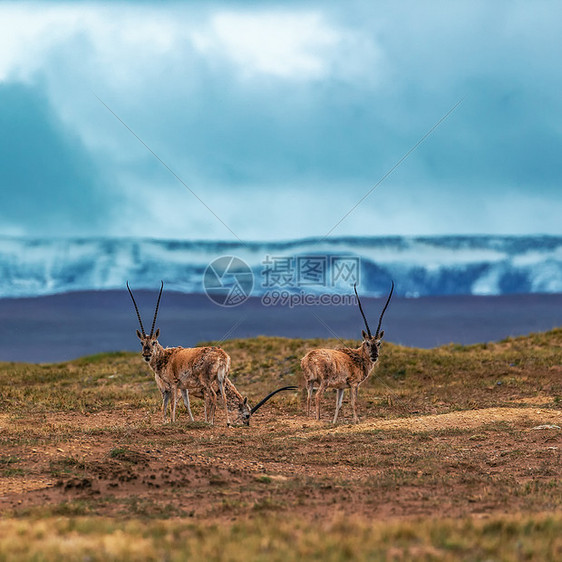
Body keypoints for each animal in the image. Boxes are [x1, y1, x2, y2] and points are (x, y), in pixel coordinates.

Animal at [300, 282, 392, 422]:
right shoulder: (354, 385)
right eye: (367, 342)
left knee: (309, 397)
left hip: (309, 382)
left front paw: (334, 422)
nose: (374, 356)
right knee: (317, 396)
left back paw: (308, 416)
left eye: (379, 343)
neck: (357, 357)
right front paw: (356, 421)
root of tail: (309, 357)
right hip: (324, 383)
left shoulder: (341, 387)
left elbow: (338, 404)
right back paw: (318, 419)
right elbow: (354, 402)